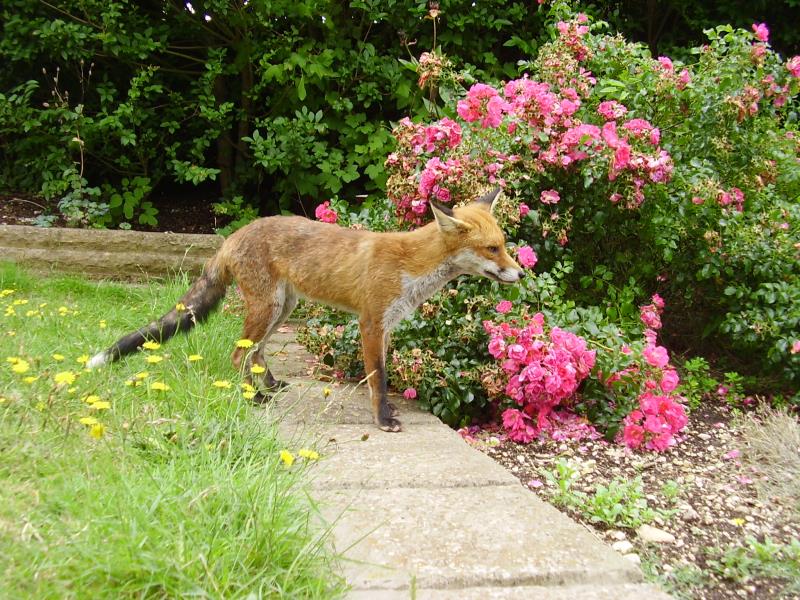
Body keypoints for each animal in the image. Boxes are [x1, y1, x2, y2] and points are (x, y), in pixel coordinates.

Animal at [89, 189, 524, 432]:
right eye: (492, 249)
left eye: (504, 244)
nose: (522, 273)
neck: (412, 265)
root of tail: (231, 237)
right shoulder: (370, 322)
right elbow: (378, 378)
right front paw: (383, 420)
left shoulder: (387, 327)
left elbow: (381, 376)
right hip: (268, 307)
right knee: (238, 354)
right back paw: (253, 398)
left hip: (282, 308)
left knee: (256, 351)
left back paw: (269, 386)